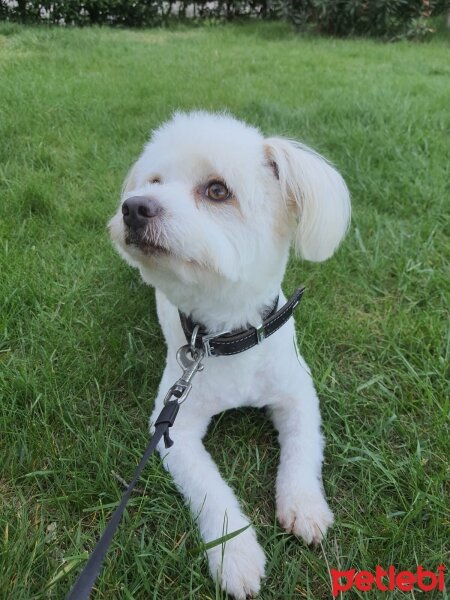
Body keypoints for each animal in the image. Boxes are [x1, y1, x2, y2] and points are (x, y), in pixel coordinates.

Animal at [108, 110, 348, 596]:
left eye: (217, 190)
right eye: (155, 181)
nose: (134, 207)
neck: (223, 336)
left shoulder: (299, 397)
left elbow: (303, 451)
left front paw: (304, 504)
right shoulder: (173, 428)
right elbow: (210, 489)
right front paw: (235, 553)